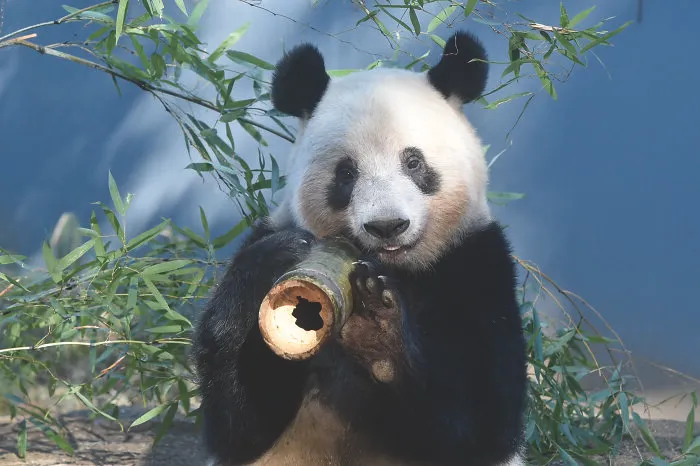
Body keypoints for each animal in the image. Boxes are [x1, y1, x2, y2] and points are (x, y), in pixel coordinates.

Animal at [192, 31, 528, 466]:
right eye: (346, 173)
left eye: (413, 162)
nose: (387, 226)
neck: (392, 268)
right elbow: (238, 425)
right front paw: (277, 256)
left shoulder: (476, 265)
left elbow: (484, 421)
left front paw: (379, 334)